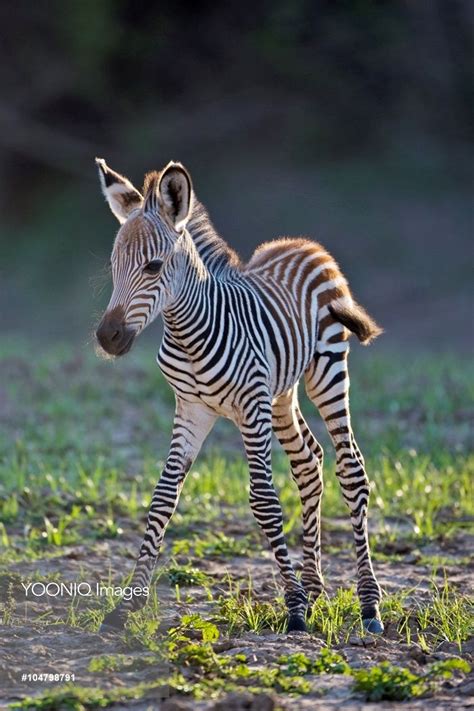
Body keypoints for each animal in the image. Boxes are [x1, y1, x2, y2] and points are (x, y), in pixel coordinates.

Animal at [94, 160, 384, 636]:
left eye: (153, 267)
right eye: (114, 265)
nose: (107, 338)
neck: (189, 332)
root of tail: (305, 244)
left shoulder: (250, 407)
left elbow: (264, 499)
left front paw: (294, 609)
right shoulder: (191, 410)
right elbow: (162, 499)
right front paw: (124, 607)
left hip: (326, 370)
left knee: (351, 469)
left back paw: (368, 605)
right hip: (281, 394)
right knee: (309, 463)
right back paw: (316, 589)